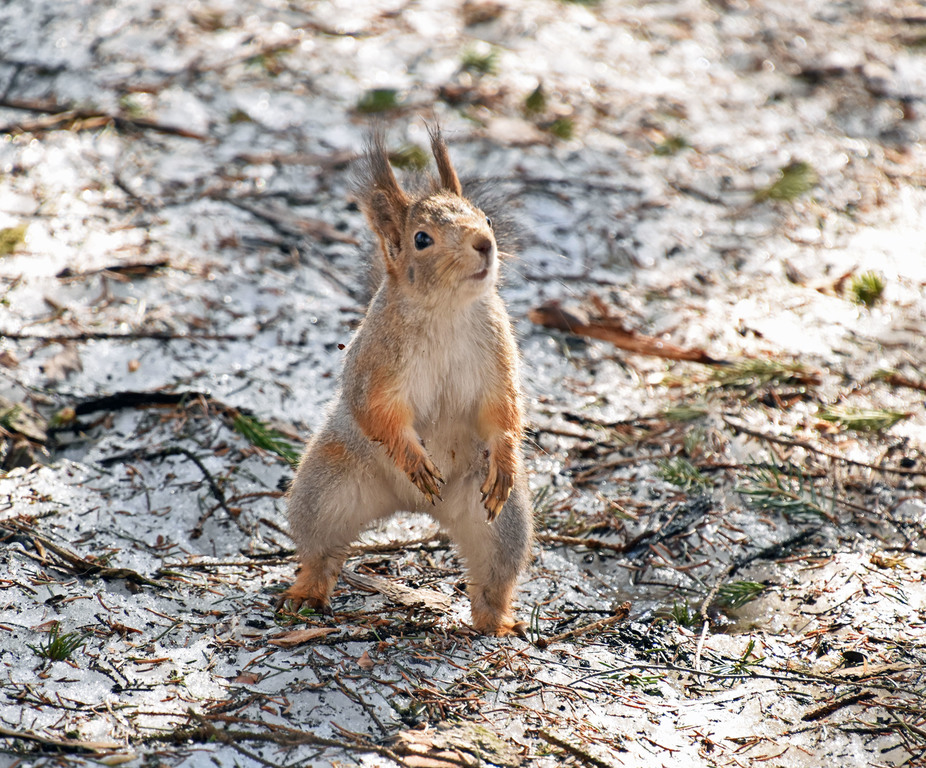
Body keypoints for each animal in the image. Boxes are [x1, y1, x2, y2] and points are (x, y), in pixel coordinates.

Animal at [280, 126, 532, 636]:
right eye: (422, 238)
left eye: (487, 218)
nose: (484, 244)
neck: (447, 310)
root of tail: (419, 511)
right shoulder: (375, 363)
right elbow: (375, 409)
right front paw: (414, 459)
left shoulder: (497, 355)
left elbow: (503, 408)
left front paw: (507, 456)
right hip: (327, 487)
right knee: (321, 550)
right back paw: (307, 592)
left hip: (497, 521)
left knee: (494, 572)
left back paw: (495, 621)